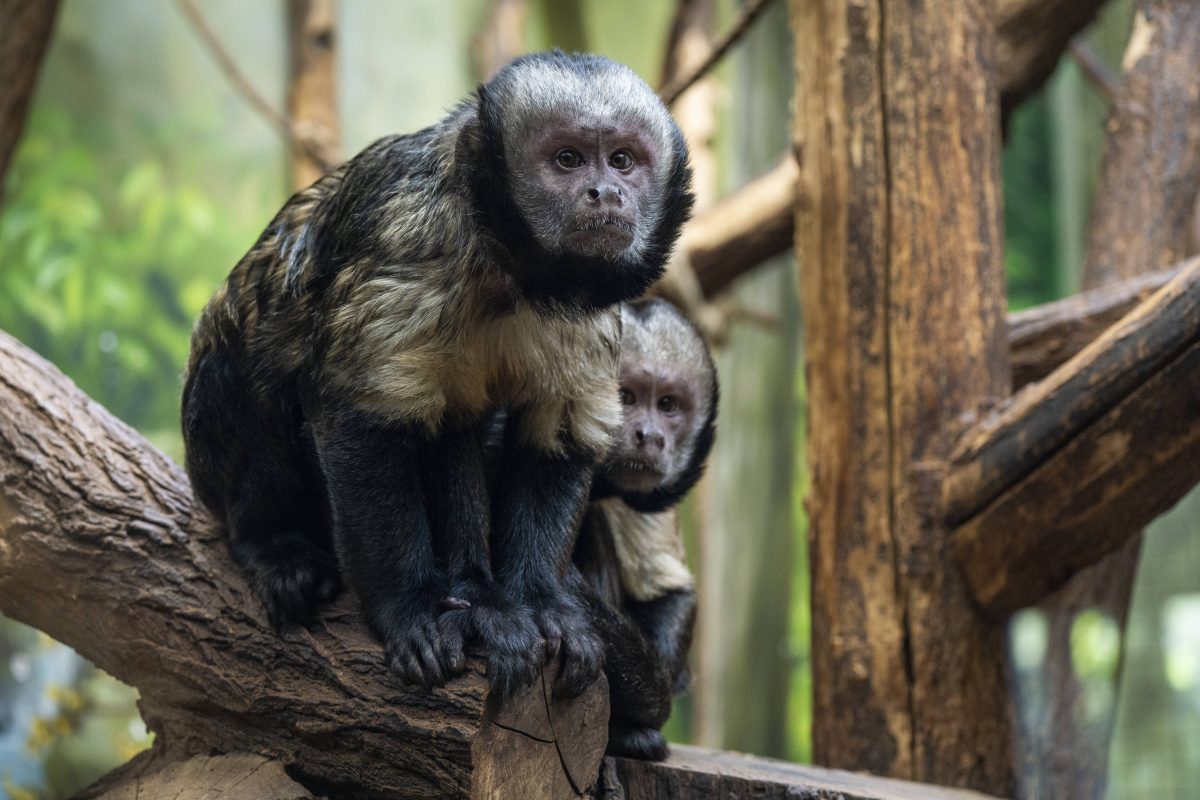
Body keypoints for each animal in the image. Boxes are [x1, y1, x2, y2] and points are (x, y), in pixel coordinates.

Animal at [177, 51, 696, 700]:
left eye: (623, 160)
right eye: (568, 160)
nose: (606, 193)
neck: (510, 273)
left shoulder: (594, 319)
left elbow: (556, 435)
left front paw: (543, 602)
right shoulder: (407, 255)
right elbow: (363, 424)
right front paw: (412, 608)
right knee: (246, 362)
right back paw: (274, 543)